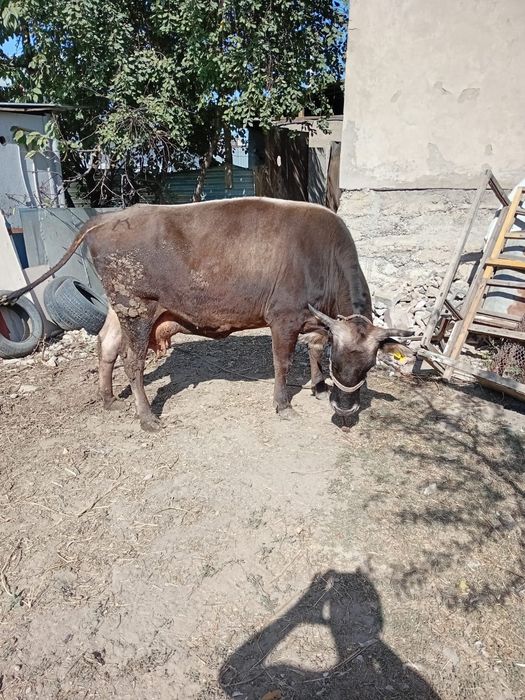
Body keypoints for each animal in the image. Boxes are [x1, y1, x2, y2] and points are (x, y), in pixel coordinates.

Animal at [2, 198, 410, 430]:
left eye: (369, 365)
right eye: (341, 362)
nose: (344, 409)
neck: (320, 257)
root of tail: (107, 218)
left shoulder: (319, 321)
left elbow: (313, 347)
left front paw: (318, 384)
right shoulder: (284, 317)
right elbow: (283, 363)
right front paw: (283, 405)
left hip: (120, 309)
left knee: (106, 346)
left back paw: (108, 400)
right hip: (138, 308)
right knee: (132, 362)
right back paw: (147, 419)